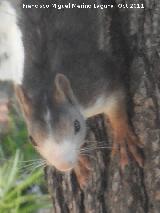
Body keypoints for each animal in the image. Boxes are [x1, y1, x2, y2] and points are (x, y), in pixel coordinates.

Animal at [0, 0, 142, 186]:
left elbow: (115, 101)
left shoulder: (95, 82)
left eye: (77, 126)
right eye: (32, 140)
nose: (64, 165)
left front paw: (123, 138)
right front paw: (79, 164)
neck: (45, 85)